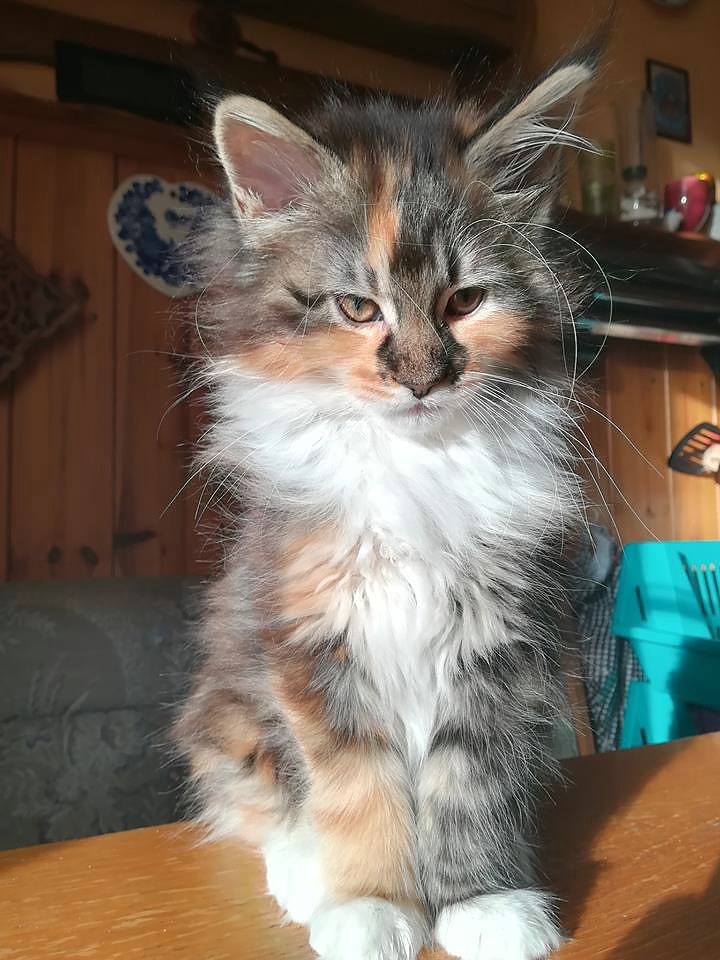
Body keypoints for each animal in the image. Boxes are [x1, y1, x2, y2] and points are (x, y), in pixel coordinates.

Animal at [176, 44, 599, 960]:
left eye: (464, 302)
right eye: (357, 307)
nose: (420, 378)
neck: (412, 467)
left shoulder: (501, 642)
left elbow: (472, 784)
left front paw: (484, 903)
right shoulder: (310, 640)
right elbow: (356, 786)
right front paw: (370, 905)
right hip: (227, 702)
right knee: (256, 797)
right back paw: (306, 872)